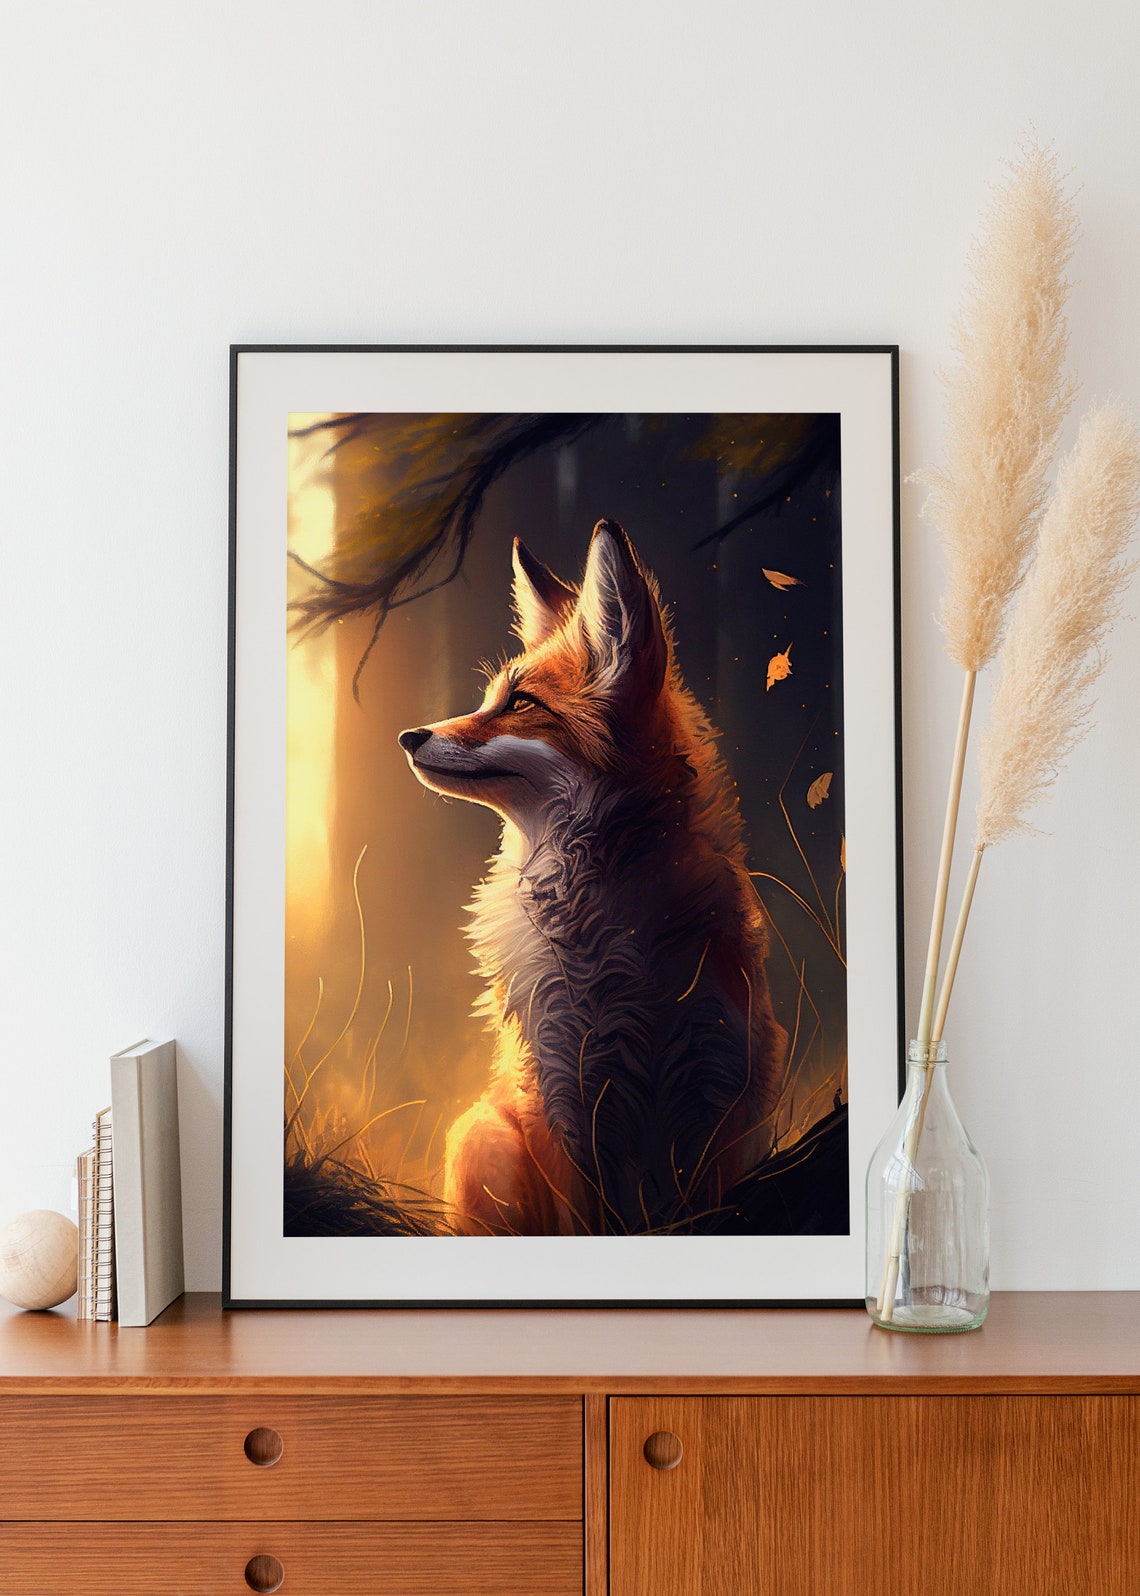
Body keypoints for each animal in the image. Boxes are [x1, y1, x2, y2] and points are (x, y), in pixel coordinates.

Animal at [399, 518, 788, 1237]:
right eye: (488, 699)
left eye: (520, 703)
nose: (409, 736)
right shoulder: (559, 1093)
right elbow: (583, 1225)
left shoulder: (720, 1094)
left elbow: (706, 1210)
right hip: (483, 1139)